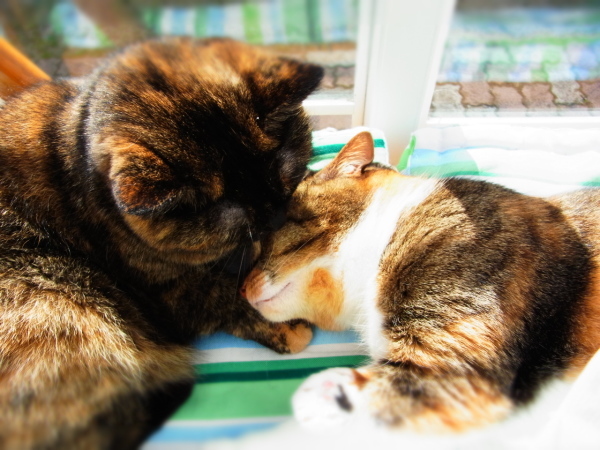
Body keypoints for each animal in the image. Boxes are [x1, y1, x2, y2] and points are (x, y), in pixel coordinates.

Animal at [0, 37, 324, 448]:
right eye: (232, 210)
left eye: (283, 178)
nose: (276, 217)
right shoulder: (169, 293)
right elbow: (225, 294)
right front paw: (287, 324)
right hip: (63, 303)